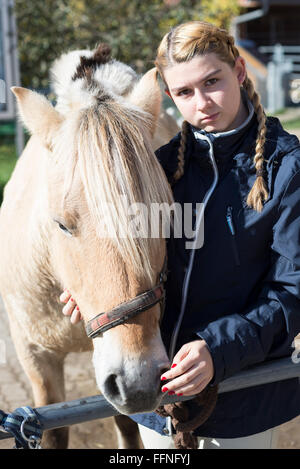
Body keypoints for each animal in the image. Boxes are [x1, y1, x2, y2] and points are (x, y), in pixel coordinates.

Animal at [0, 45, 178, 448]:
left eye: (166, 217)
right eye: (61, 224)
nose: (139, 380)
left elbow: (126, 421)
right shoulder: (36, 359)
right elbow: (52, 429)